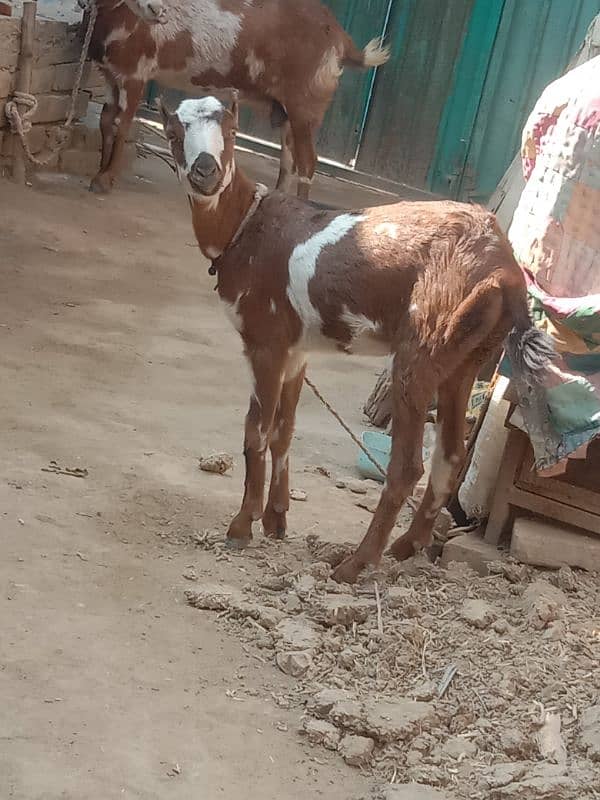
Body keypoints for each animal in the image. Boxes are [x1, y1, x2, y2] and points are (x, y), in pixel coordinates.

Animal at [83, 0, 390, 197]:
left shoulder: (135, 74)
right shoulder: (110, 75)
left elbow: (122, 125)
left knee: (307, 162)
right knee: (288, 158)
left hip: (307, 104)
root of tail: (340, 38)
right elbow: (105, 120)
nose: (157, 10)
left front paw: (105, 179)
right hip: (286, 110)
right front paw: (98, 170)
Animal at [159, 98, 552, 588]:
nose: (206, 170)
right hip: (466, 358)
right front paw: (276, 520)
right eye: (174, 132)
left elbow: (256, 432)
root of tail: (503, 270)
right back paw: (405, 548)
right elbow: (285, 430)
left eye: (231, 131)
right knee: (450, 455)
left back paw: (355, 563)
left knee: (408, 466)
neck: (245, 228)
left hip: (423, 345)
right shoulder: (297, 348)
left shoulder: (265, 340)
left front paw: (241, 527)